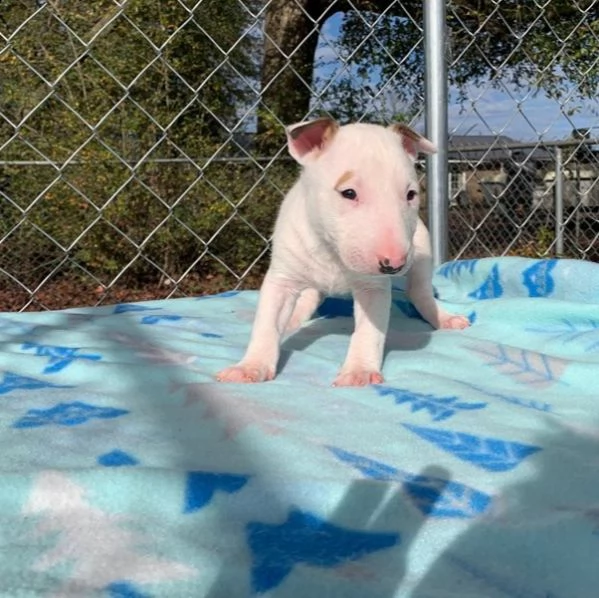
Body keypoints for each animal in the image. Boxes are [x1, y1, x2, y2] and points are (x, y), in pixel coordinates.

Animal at [218, 119, 472, 386]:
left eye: (411, 195)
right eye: (348, 193)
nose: (394, 263)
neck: (332, 252)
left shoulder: (373, 286)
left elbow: (369, 331)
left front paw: (359, 371)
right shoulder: (281, 278)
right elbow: (267, 324)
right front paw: (250, 366)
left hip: (421, 248)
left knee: (419, 292)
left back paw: (444, 317)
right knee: (310, 296)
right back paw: (294, 319)